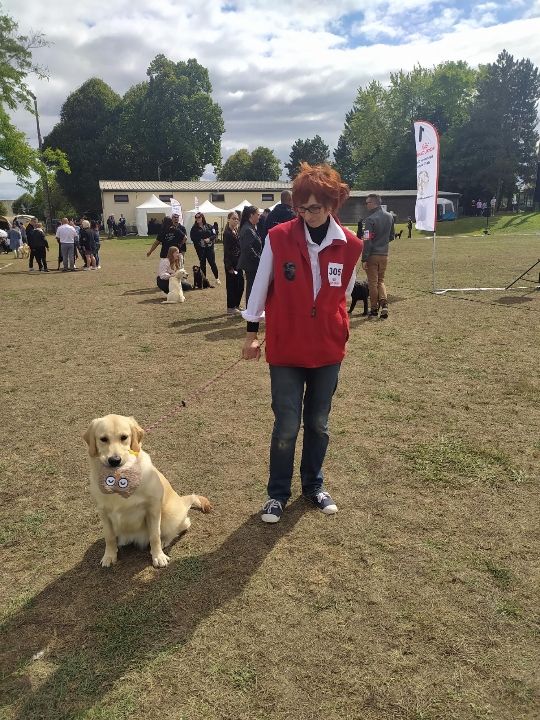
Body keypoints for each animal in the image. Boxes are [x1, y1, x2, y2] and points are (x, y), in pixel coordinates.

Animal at [83, 416, 212, 568]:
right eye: (103, 439)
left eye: (124, 437)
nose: (114, 460)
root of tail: (181, 500)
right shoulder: (103, 512)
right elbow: (109, 537)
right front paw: (109, 555)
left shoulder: (153, 508)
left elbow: (155, 535)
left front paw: (158, 556)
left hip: (170, 517)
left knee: (182, 525)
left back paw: (165, 540)